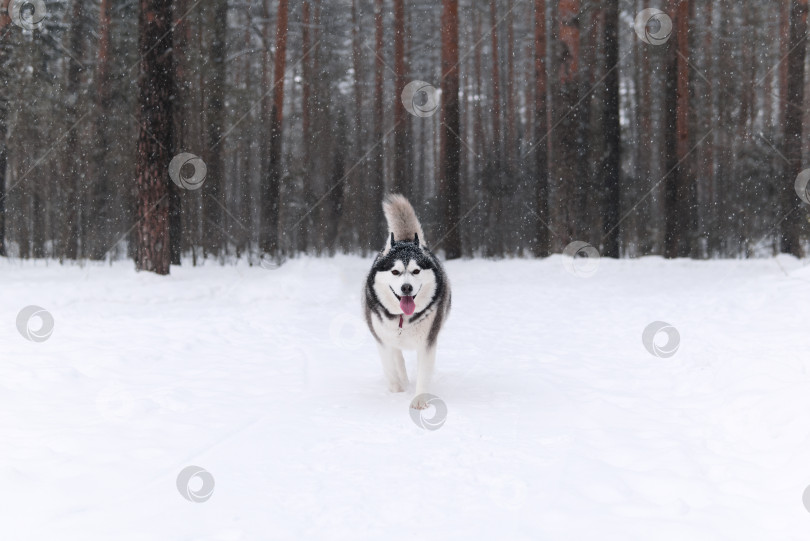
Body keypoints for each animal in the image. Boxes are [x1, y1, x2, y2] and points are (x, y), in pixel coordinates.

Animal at [362, 194, 452, 410]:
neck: (403, 317)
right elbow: (390, 366)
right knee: (397, 358)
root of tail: (405, 240)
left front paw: (419, 400)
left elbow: (423, 372)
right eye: (395, 271)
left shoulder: (428, 341)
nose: (406, 288)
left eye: (416, 271)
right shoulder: (382, 339)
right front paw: (396, 392)